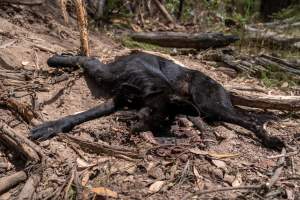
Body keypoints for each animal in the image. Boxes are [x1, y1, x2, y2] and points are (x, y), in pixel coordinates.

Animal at [30, 51, 284, 150]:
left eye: (164, 123)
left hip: (209, 105)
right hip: (207, 107)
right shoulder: (108, 84)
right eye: (150, 114)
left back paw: (271, 140)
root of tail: (222, 86)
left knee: (250, 120)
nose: (161, 140)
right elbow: (83, 60)